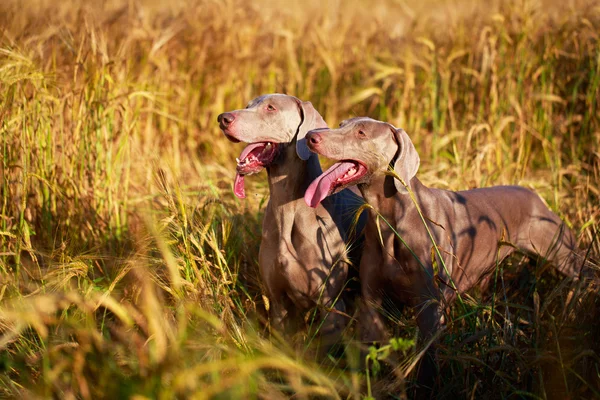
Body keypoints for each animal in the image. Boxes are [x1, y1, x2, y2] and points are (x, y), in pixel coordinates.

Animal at [218, 95, 364, 340]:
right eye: (248, 106)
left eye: (270, 108)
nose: (223, 118)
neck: (286, 211)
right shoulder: (278, 304)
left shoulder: (331, 306)